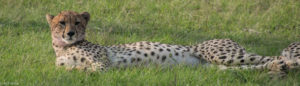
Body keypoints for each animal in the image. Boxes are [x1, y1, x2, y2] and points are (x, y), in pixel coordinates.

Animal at [45, 10, 282, 72]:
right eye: (61, 22)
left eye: (77, 22)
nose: (70, 34)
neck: (63, 48)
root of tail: (227, 37)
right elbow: (70, 69)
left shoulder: (104, 64)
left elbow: (90, 69)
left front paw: (82, 71)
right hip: (214, 67)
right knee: (246, 68)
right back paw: (275, 70)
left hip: (222, 53)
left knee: (272, 56)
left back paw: (282, 64)